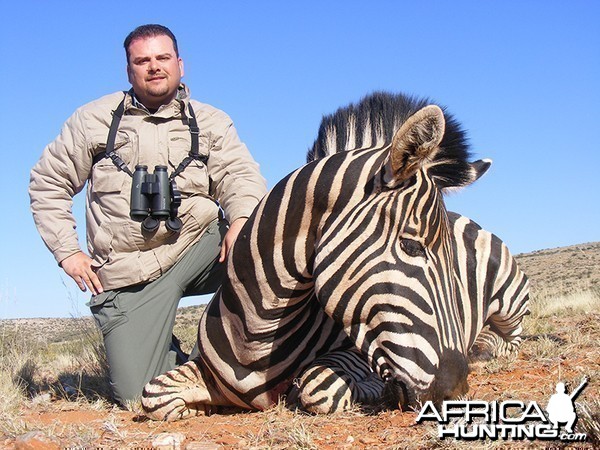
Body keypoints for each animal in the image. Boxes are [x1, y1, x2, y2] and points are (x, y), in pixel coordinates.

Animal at [142, 92, 528, 422]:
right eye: (412, 246)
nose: (456, 392)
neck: (255, 332)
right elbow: (154, 395)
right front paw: (197, 406)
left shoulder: (360, 352)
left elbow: (318, 387)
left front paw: (367, 391)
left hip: (509, 300)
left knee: (512, 339)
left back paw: (481, 351)